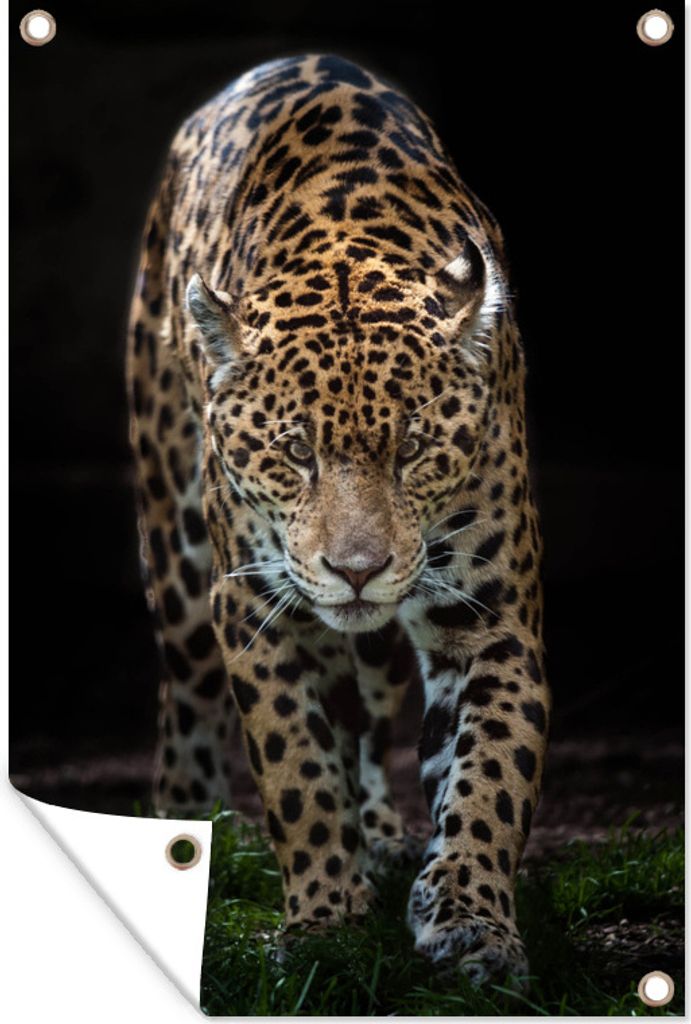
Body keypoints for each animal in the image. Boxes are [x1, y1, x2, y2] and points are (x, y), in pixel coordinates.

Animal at [126, 53, 550, 988]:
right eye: (294, 452)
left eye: (415, 447)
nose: (357, 570)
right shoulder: (252, 609)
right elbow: (296, 771)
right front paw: (324, 921)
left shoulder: (490, 616)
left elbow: (491, 773)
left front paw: (469, 919)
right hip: (177, 562)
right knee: (185, 695)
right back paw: (188, 828)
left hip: (380, 645)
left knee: (365, 711)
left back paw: (385, 836)